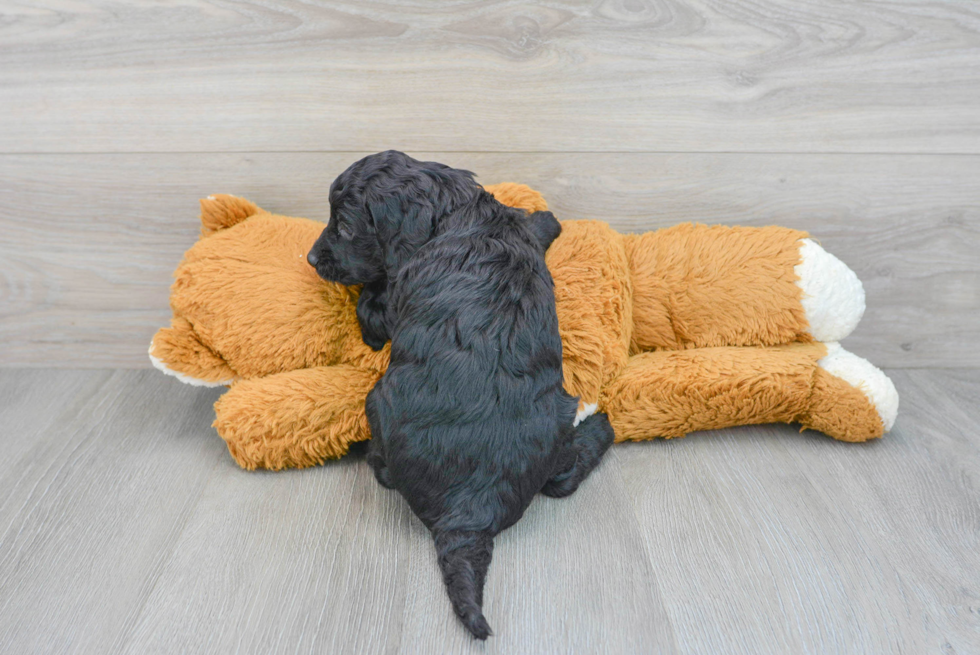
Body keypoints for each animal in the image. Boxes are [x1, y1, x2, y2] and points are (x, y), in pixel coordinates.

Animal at [306, 151, 612, 640]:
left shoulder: (393, 294)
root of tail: (469, 512)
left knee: (382, 470)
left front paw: (366, 318)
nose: (312, 258)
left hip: (377, 402)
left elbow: (370, 306)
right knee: (562, 479)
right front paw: (546, 218)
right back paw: (600, 424)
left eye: (346, 226)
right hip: (555, 421)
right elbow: (532, 224)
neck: (453, 212)